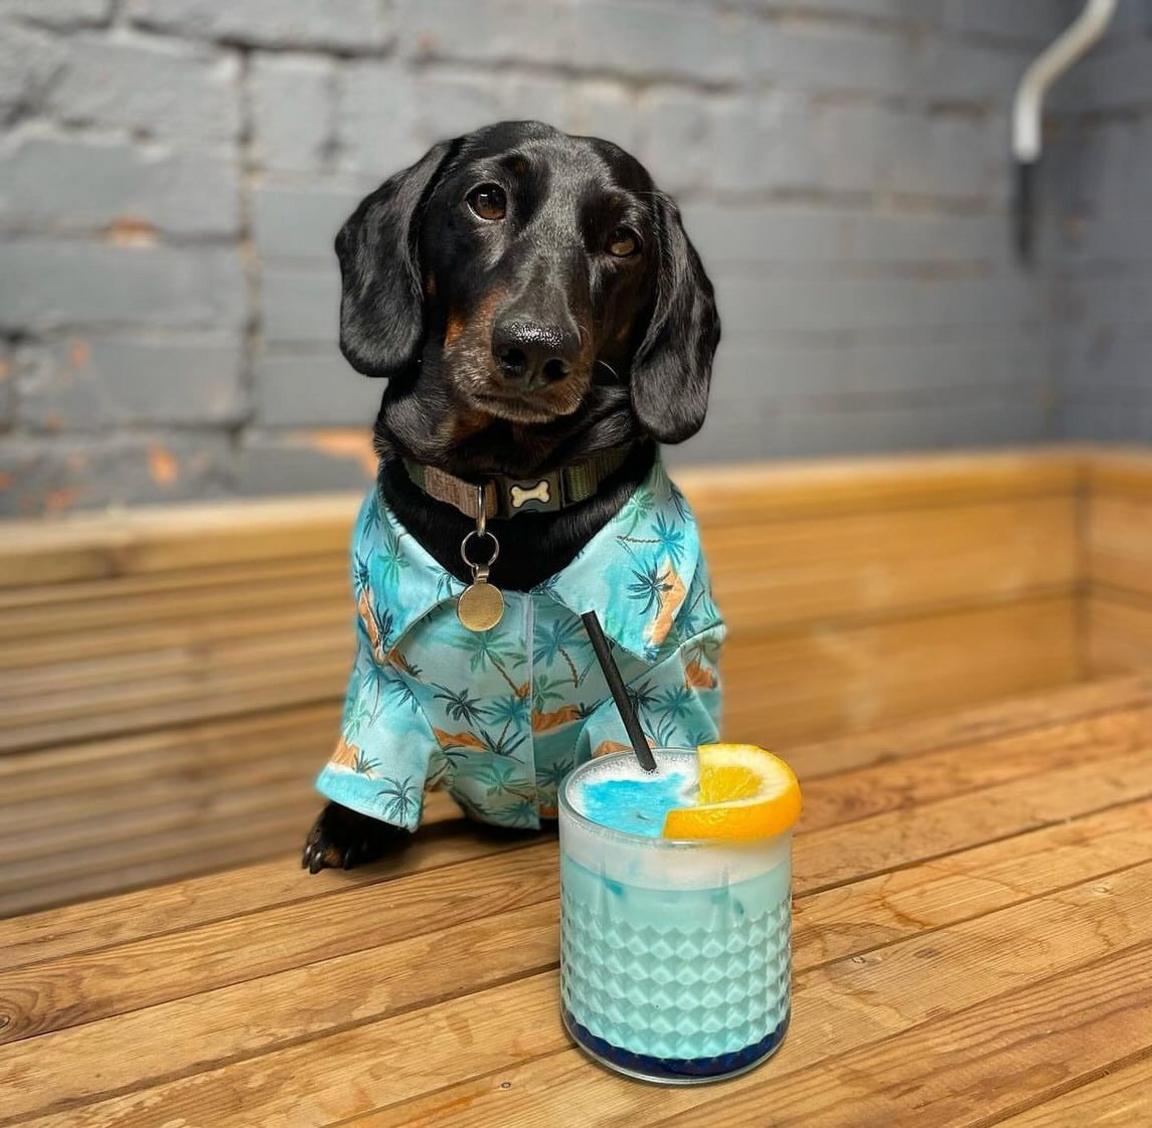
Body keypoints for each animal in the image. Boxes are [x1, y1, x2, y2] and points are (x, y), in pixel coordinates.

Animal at [301, 119, 723, 871]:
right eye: (487, 200)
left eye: (624, 241)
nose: (535, 349)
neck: (505, 492)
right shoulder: (381, 679)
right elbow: (374, 755)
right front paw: (350, 823)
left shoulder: (662, 685)